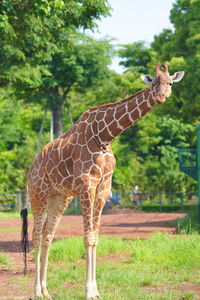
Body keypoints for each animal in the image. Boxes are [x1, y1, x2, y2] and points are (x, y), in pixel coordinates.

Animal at [21, 62, 184, 298]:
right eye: (153, 82)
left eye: (170, 82)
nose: (162, 96)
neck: (105, 135)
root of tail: (30, 170)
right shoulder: (87, 185)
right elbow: (88, 236)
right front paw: (89, 291)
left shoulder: (104, 188)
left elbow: (95, 237)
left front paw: (96, 290)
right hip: (38, 193)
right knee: (35, 234)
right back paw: (36, 292)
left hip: (59, 197)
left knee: (47, 235)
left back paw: (46, 291)